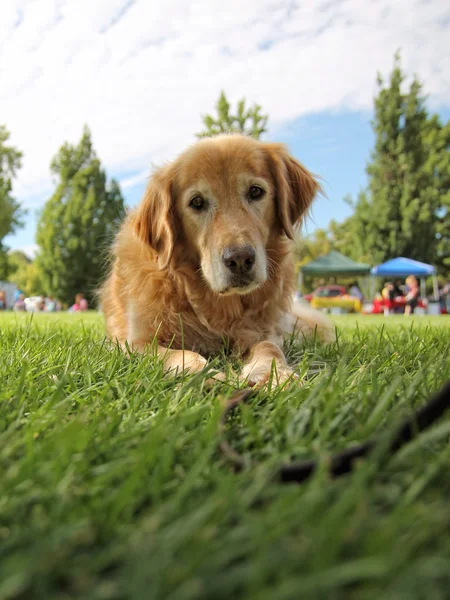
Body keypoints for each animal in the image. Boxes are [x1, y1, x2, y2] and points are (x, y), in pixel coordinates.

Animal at [102, 134, 334, 386]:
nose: (240, 259)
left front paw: (275, 374)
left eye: (255, 192)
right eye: (196, 202)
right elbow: (181, 354)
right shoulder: (138, 342)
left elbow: (269, 346)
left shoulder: (262, 331)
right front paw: (205, 376)